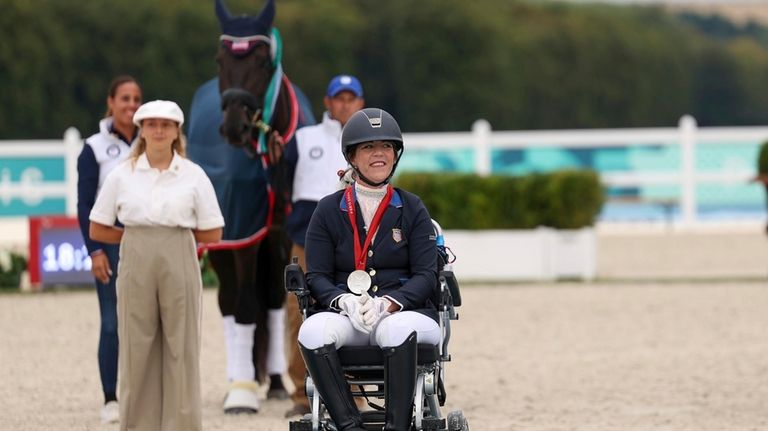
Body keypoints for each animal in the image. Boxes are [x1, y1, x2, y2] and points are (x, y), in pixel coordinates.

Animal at [186, 0, 316, 416]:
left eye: (262, 60)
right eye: (219, 59)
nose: (234, 127)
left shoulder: (282, 233)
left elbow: (279, 300)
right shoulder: (244, 231)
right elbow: (243, 305)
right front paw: (240, 395)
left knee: (271, 301)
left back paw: (273, 382)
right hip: (224, 240)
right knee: (230, 301)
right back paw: (237, 380)